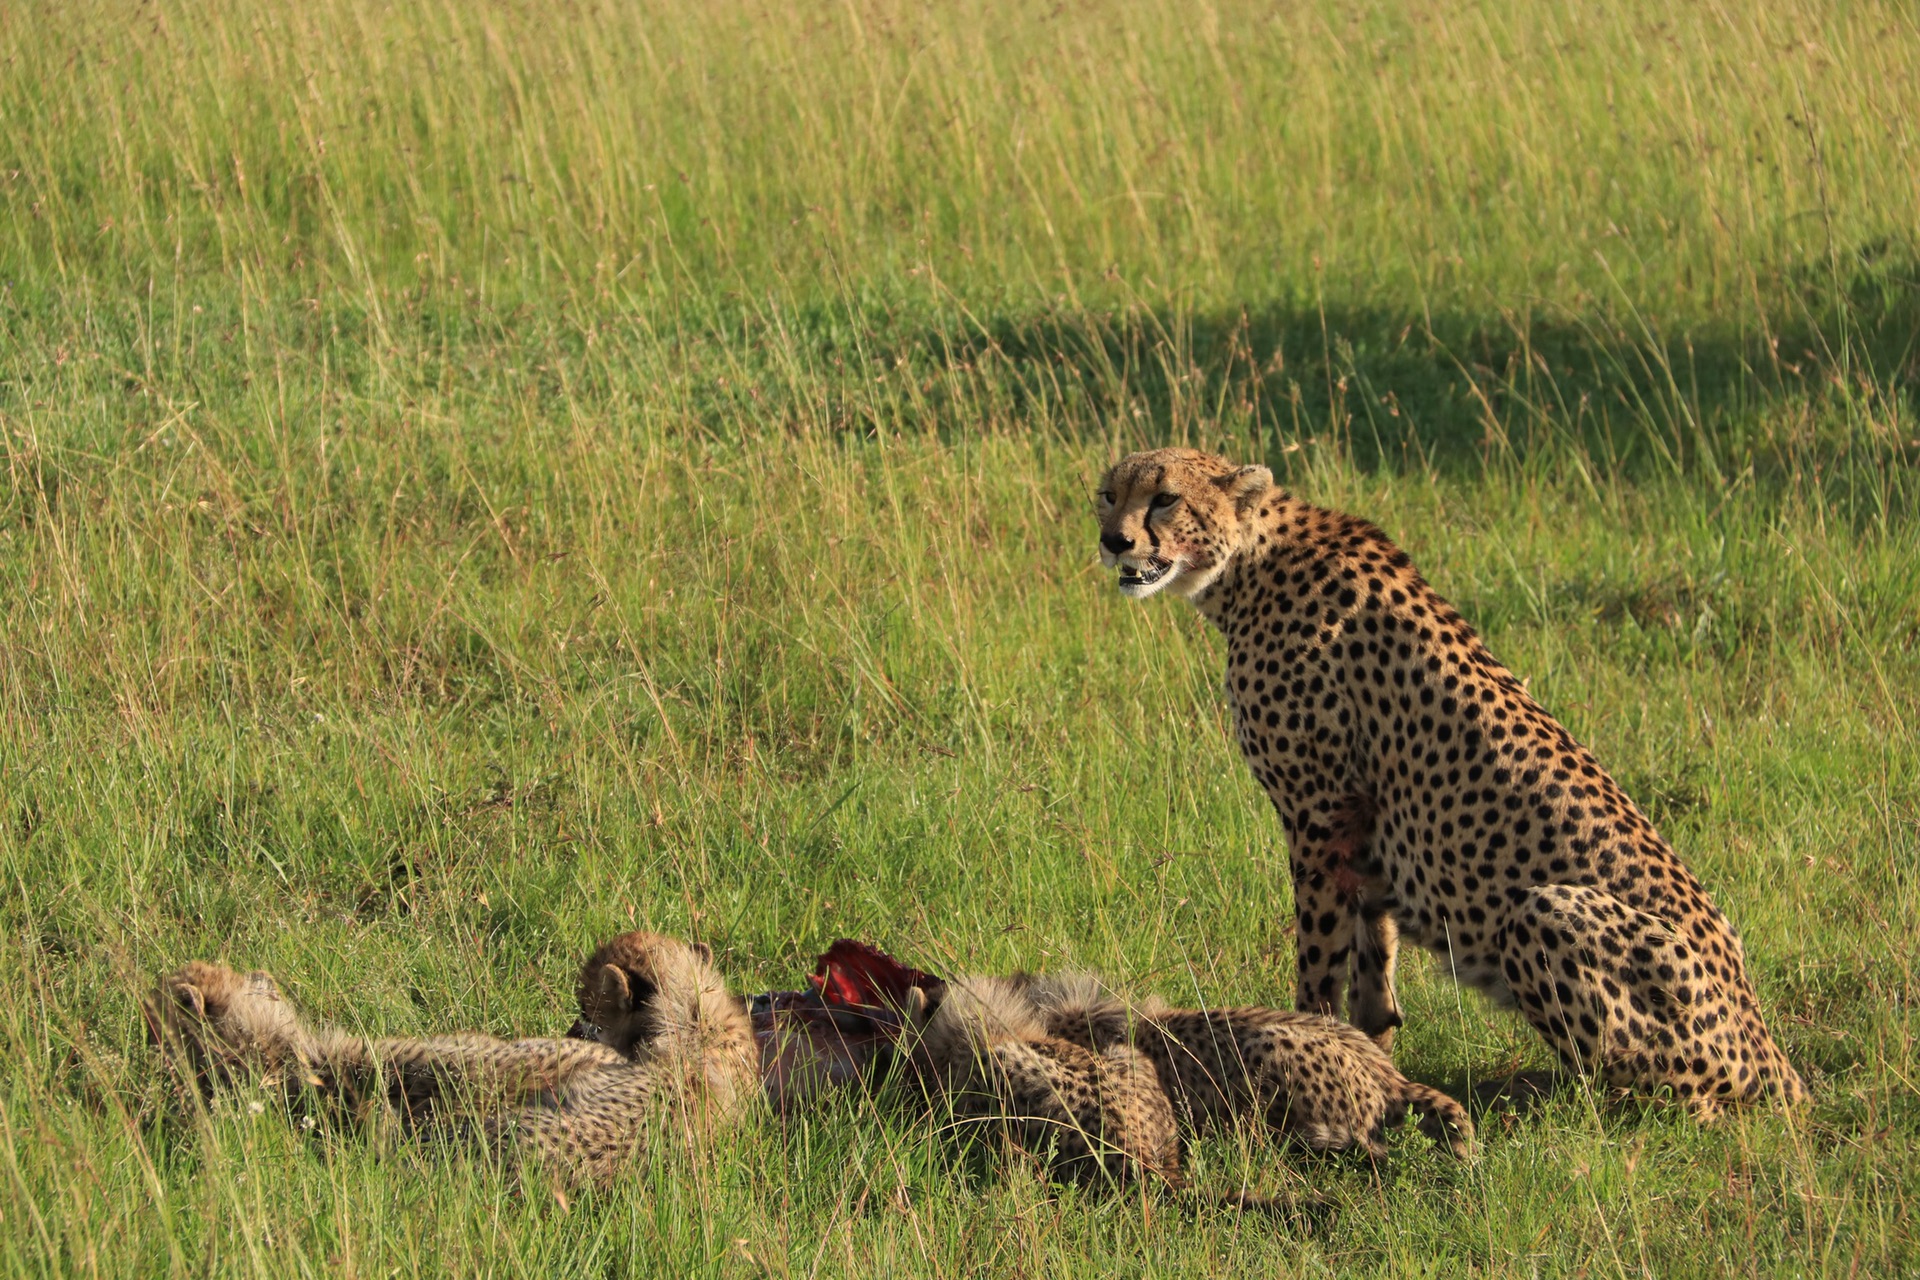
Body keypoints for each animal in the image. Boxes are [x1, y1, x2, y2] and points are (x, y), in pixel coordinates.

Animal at [1105, 449, 1804, 1113]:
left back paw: (1527, 1093)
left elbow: (1320, 957)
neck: (1248, 563)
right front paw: (1371, 1060)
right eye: (1108, 494)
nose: (1114, 540)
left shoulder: (1320, 813)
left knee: (1665, 1100)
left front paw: (1311, 1044)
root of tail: (1774, 1053)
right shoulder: (1364, 826)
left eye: (1166, 498)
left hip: (1543, 912)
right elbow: (1373, 959)